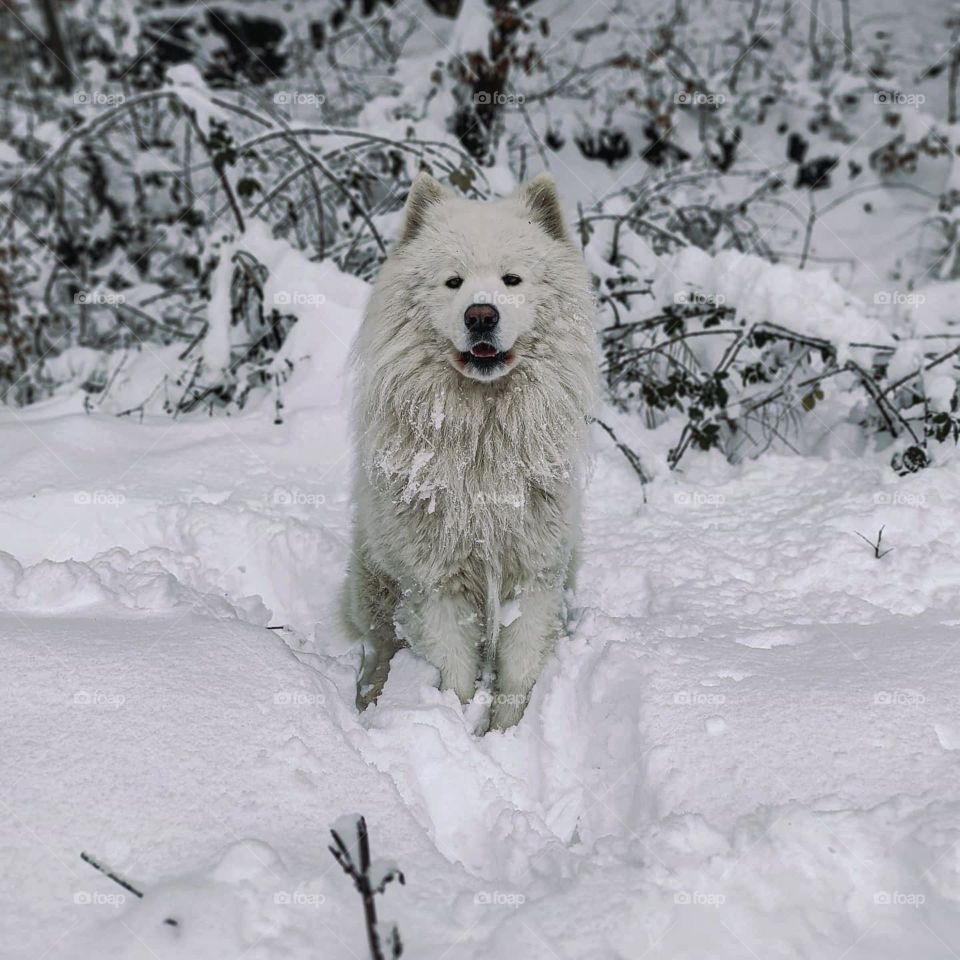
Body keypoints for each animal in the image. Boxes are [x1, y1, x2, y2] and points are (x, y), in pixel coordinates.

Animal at [342, 172, 596, 728]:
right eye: (454, 282)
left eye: (512, 280)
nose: (482, 315)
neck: (483, 434)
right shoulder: (437, 583)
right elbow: (454, 677)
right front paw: (451, 729)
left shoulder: (534, 575)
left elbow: (517, 677)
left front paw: (503, 734)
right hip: (376, 584)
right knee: (378, 651)